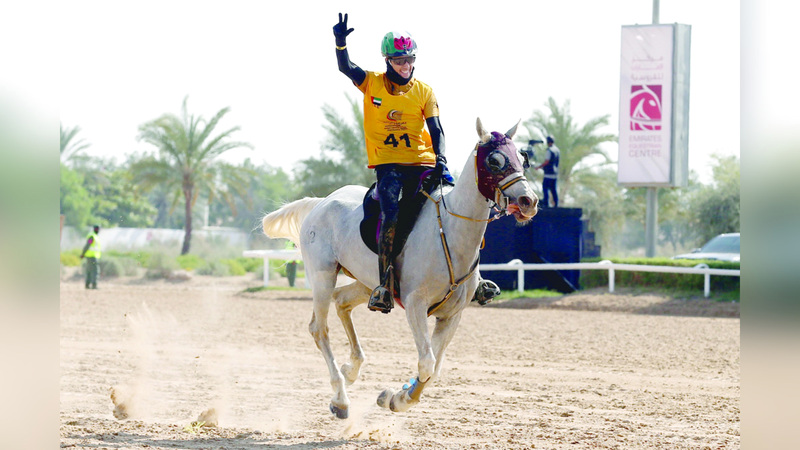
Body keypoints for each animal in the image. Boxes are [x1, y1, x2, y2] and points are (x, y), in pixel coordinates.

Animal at [262, 117, 536, 418]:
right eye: (494, 161)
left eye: (523, 158)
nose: (529, 201)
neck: (450, 230)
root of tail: (321, 202)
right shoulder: (415, 305)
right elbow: (427, 362)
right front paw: (400, 398)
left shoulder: (451, 316)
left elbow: (433, 368)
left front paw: (395, 396)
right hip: (323, 276)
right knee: (319, 329)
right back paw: (340, 398)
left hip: (367, 283)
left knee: (342, 302)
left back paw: (351, 369)